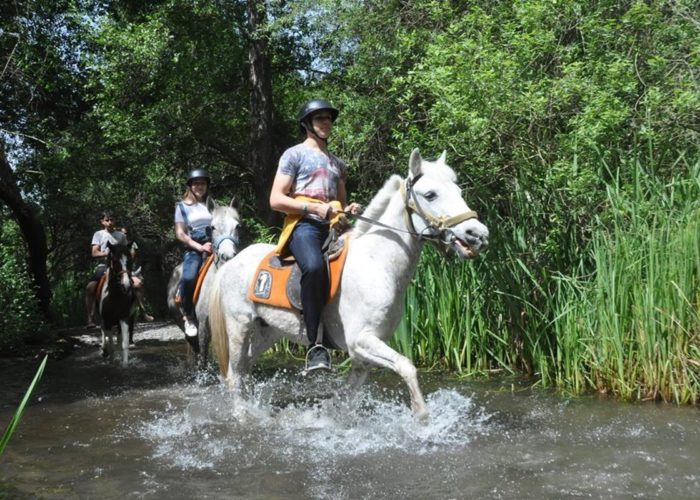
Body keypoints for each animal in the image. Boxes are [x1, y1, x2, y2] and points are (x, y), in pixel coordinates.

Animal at [166, 201, 241, 370]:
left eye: (237, 226)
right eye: (212, 227)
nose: (227, 256)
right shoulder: (204, 325)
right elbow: (203, 356)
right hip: (181, 320)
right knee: (195, 347)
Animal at [211, 148, 490, 418]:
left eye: (459, 191)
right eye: (430, 195)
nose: (478, 234)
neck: (377, 264)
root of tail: (232, 261)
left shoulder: (363, 355)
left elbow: (347, 397)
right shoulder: (361, 341)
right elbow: (407, 367)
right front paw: (422, 419)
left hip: (267, 330)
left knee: (245, 368)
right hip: (239, 326)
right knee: (234, 375)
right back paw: (242, 415)